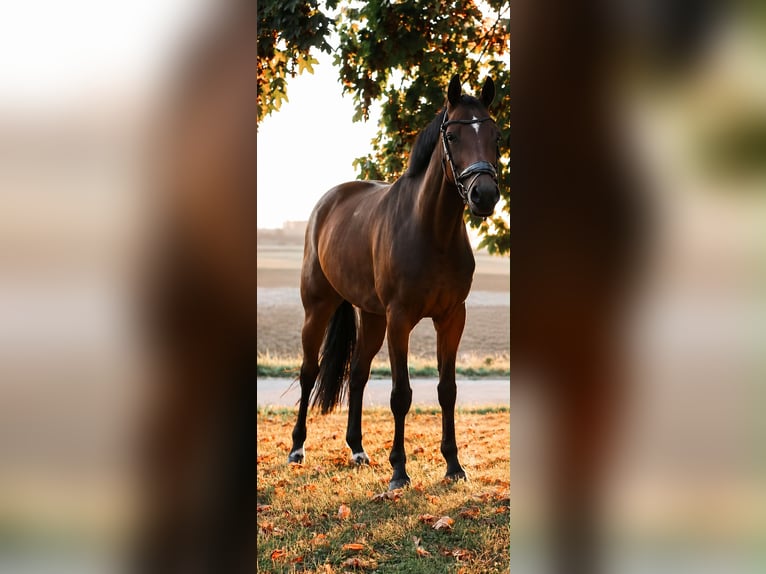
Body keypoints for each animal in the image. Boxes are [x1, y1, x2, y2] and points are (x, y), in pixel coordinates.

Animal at [287, 75, 501, 490]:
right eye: (452, 136)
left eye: (496, 135)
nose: (484, 195)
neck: (431, 231)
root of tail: (327, 202)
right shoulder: (400, 319)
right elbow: (401, 394)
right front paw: (399, 471)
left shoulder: (452, 318)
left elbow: (447, 390)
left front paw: (454, 466)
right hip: (317, 308)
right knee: (308, 373)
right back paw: (297, 449)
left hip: (372, 317)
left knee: (357, 374)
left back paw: (357, 449)